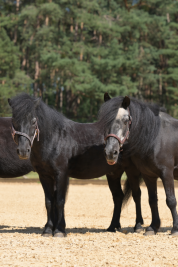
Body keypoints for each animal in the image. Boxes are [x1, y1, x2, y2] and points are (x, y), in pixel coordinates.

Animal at [8, 94, 147, 239]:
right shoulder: (44, 175)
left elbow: (60, 200)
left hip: (132, 170)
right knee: (118, 197)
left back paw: (137, 226)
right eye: (14, 120)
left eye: (34, 121)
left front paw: (59, 230)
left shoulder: (61, 173)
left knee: (137, 194)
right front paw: (48, 230)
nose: (23, 151)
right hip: (114, 173)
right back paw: (112, 227)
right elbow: (49, 202)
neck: (55, 138)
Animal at [103, 96, 178, 237]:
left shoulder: (167, 173)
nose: (111, 152)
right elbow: (152, 200)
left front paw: (175, 229)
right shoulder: (149, 175)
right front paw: (153, 227)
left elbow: (171, 200)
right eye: (104, 120)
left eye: (126, 121)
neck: (155, 137)